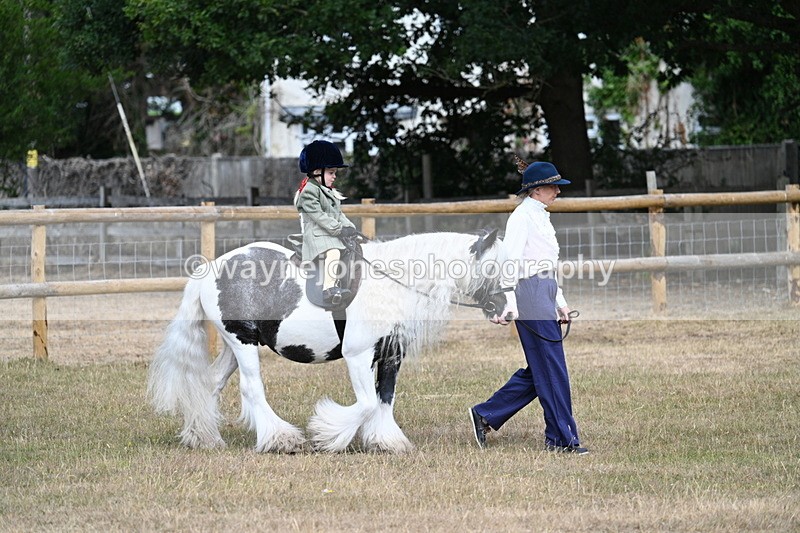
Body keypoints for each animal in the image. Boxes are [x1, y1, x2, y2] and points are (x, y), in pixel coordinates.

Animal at [147, 230, 518, 454]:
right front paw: (328, 433)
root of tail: (211, 268)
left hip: (234, 344)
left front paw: (387, 441)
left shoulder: (390, 354)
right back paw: (281, 439)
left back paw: (204, 437)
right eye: (493, 268)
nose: (510, 313)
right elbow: (366, 403)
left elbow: (385, 398)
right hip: (242, 343)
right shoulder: (358, 355)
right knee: (251, 389)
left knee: (210, 384)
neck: (389, 284)